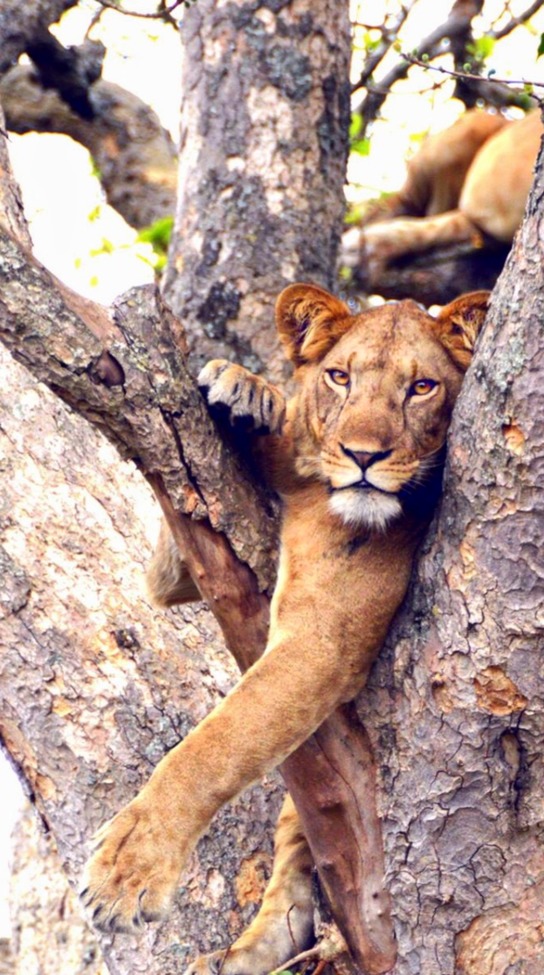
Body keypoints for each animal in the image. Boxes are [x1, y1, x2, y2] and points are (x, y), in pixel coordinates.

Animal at [81, 283, 489, 974]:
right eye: (340, 376)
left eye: (422, 387)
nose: (363, 456)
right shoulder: (174, 572)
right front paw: (246, 394)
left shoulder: (320, 641)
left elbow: (216, 744)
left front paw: (127, 868)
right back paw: (248, 952)